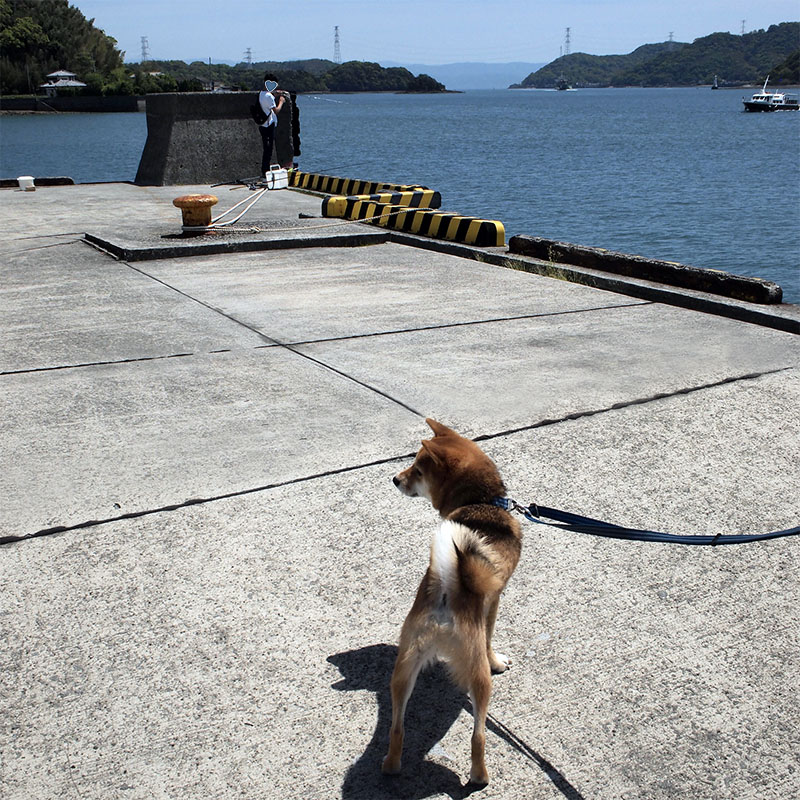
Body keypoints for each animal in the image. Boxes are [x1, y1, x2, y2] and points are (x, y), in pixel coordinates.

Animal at [382, 418, 520, 788]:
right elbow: (490, 639)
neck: (483, 501)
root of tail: (445, 591)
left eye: (417, 470)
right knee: (478, 735)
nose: (395, 479)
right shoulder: (494, 600)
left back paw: (391, 765)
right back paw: (479, 777)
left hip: (403, 670)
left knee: (397, 728)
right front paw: (498, 660)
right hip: (478, 678)